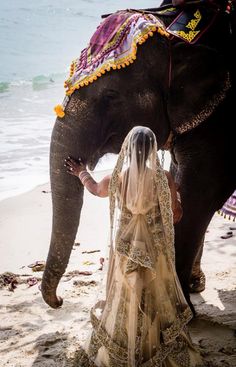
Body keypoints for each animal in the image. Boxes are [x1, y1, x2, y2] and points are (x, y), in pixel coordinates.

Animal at [41, 0, 235, 310]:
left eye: (110, 96)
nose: (59, 301)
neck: (173, 32)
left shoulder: (222, 122)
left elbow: (201, 191)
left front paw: (181, 310)